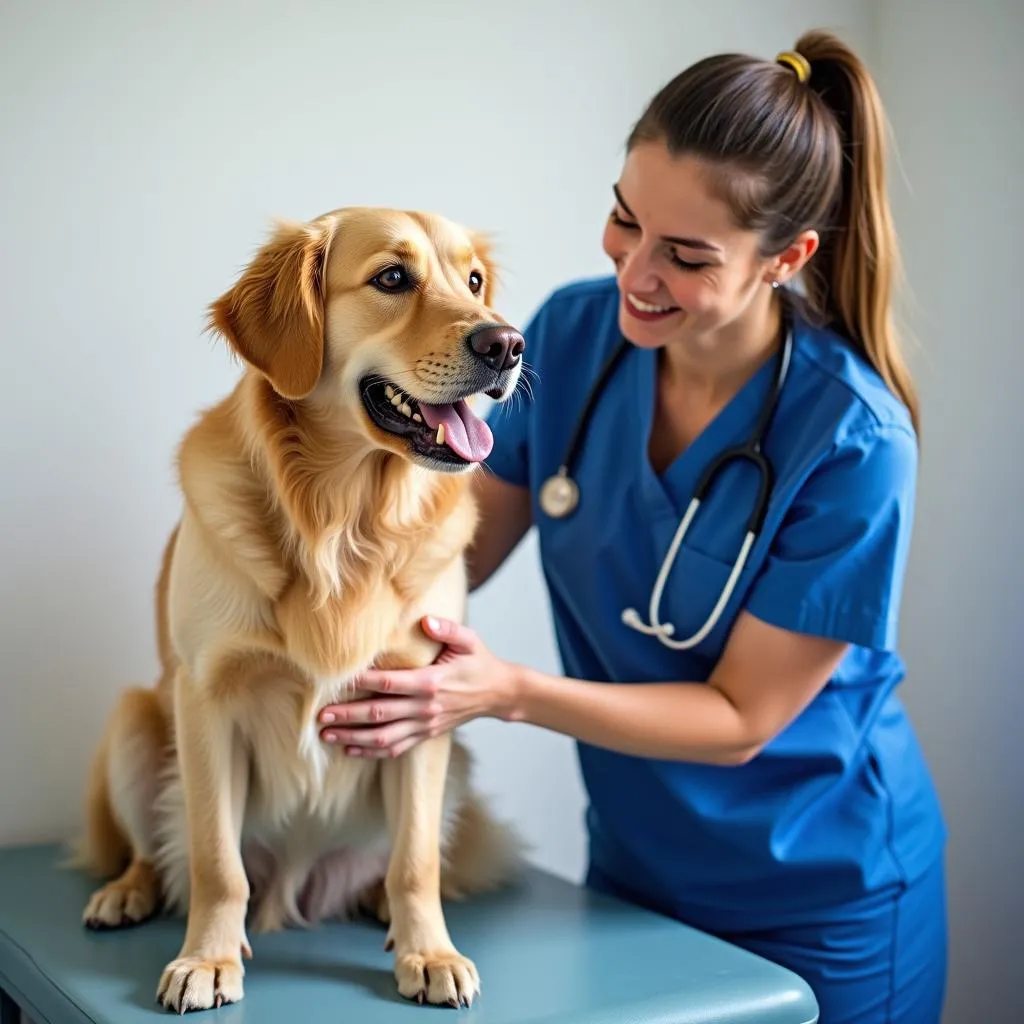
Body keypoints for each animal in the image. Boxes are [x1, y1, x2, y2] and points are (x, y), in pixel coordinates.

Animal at [74, 205, 528, 1007]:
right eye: (392, 277)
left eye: (473, 281)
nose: (508, 343)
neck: (342, 521)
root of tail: (299, 886)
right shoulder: (207, 697)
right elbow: (215, 862)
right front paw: (207, 960)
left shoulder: (423, 700)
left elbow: (416, 862)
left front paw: (430, 952)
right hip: (135, 719)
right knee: (158, 855)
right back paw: (127, 892)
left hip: (455, 760)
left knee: (399, 863)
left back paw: (380, 904)